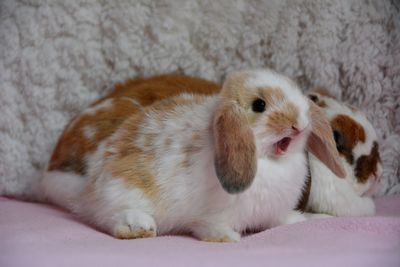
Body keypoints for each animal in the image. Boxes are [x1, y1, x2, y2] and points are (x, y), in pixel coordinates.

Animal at [43, 70, 344, 242]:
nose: (299, 123)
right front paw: (227, 238)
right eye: (259, 105)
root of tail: (89, 187)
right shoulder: (212, 214)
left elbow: (281, 221)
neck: (270, 162)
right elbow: (207, 225)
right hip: (123, 193)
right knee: (108, 218)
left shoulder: (273, 213)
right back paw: (138, 227)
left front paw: (303, 220)